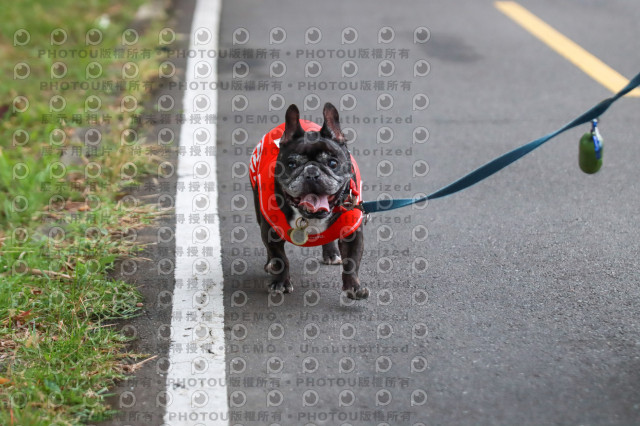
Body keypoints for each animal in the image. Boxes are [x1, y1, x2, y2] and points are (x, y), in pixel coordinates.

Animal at [250, 103, 370, 300]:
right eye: (291, 164)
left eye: (332, 163)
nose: (312, 172)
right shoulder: (270, 231)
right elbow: (280, 258)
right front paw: (280, 282)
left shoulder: (352, 233)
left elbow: (352, 262)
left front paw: (353, 287)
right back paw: (270, 265)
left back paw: (331, 253)